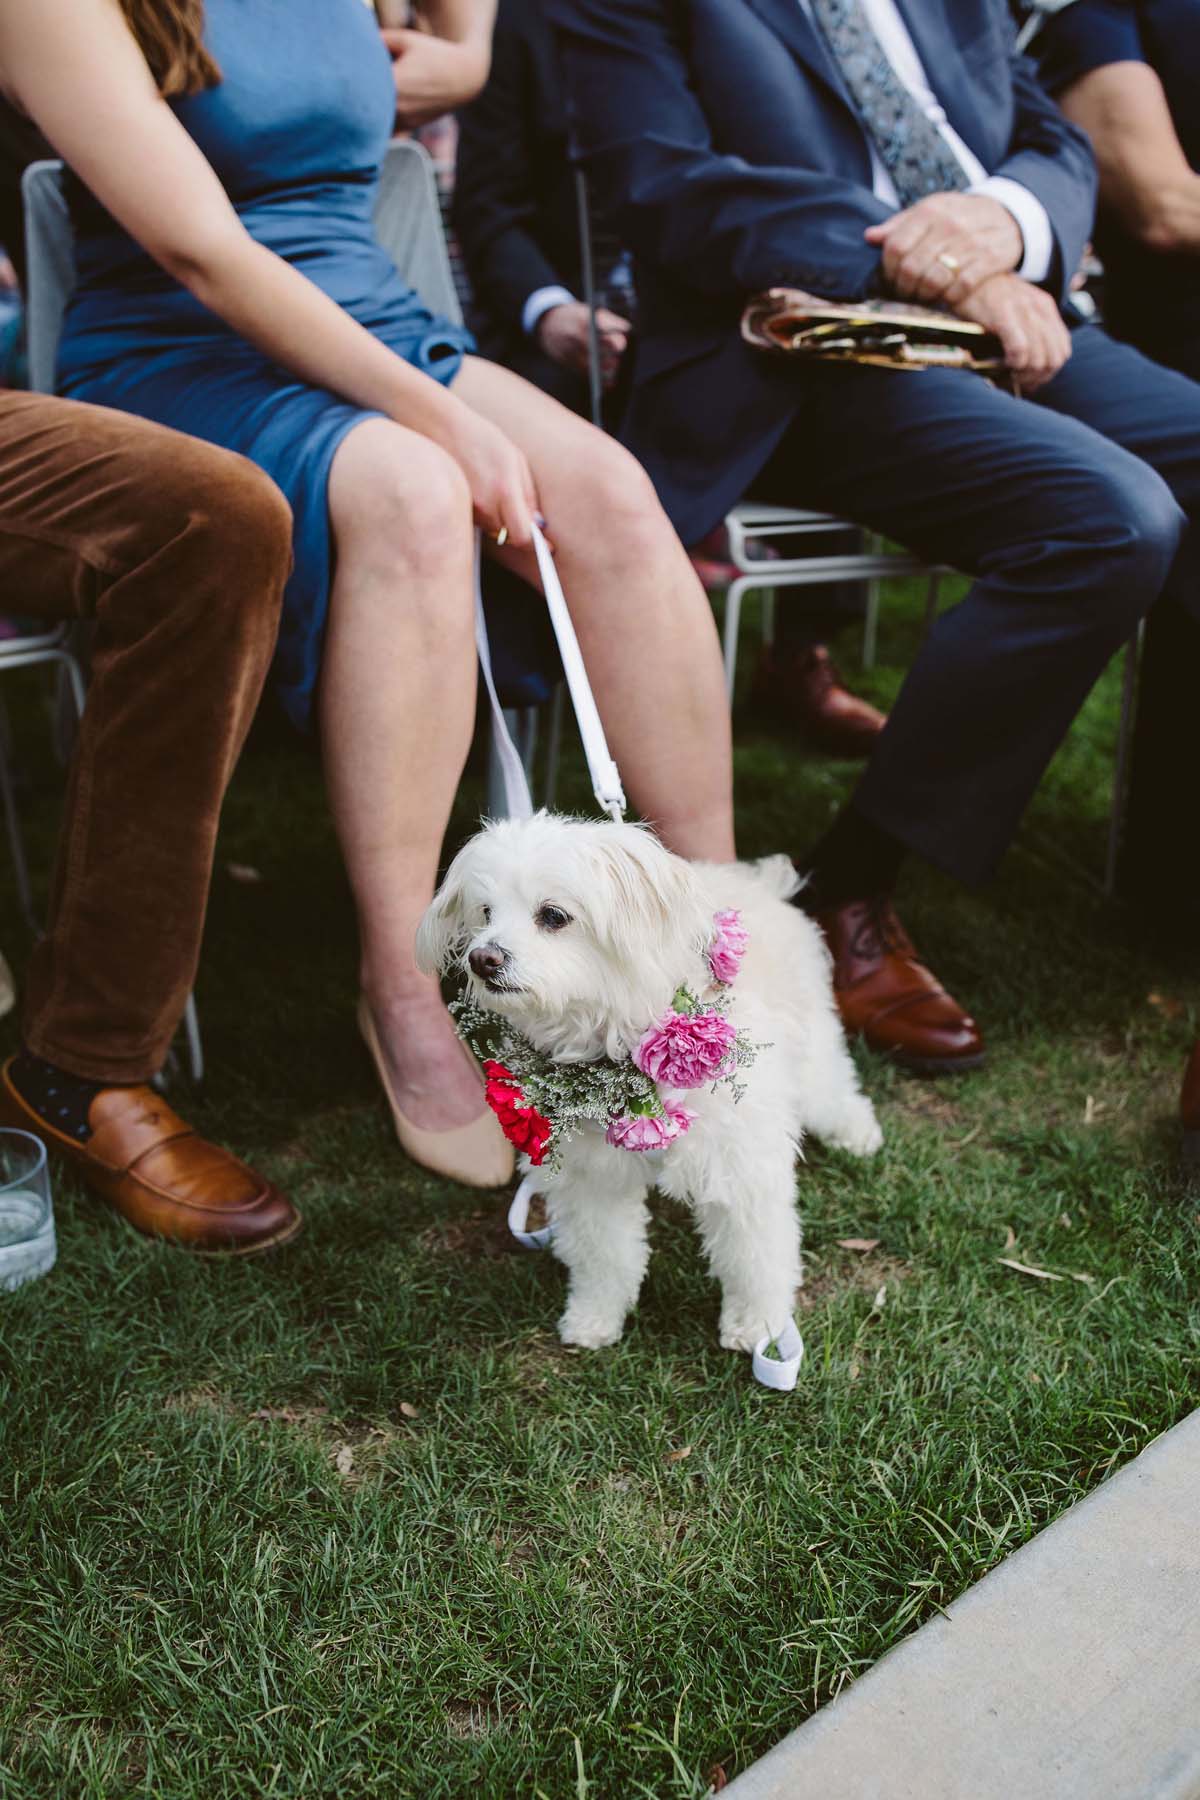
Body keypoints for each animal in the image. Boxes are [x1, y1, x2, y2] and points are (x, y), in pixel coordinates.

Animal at [420, 813, 881, 1353]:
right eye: (486, 912)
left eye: (553, 916)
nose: (482, 959)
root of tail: (764, 884)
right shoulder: (590, 1178)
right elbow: (604, 1255)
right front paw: (595, 1316)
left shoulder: (742, 1169)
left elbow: (755, 1260)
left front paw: (758, 1325)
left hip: (810, 1044)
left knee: (833, 1084)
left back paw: (856, 1132)